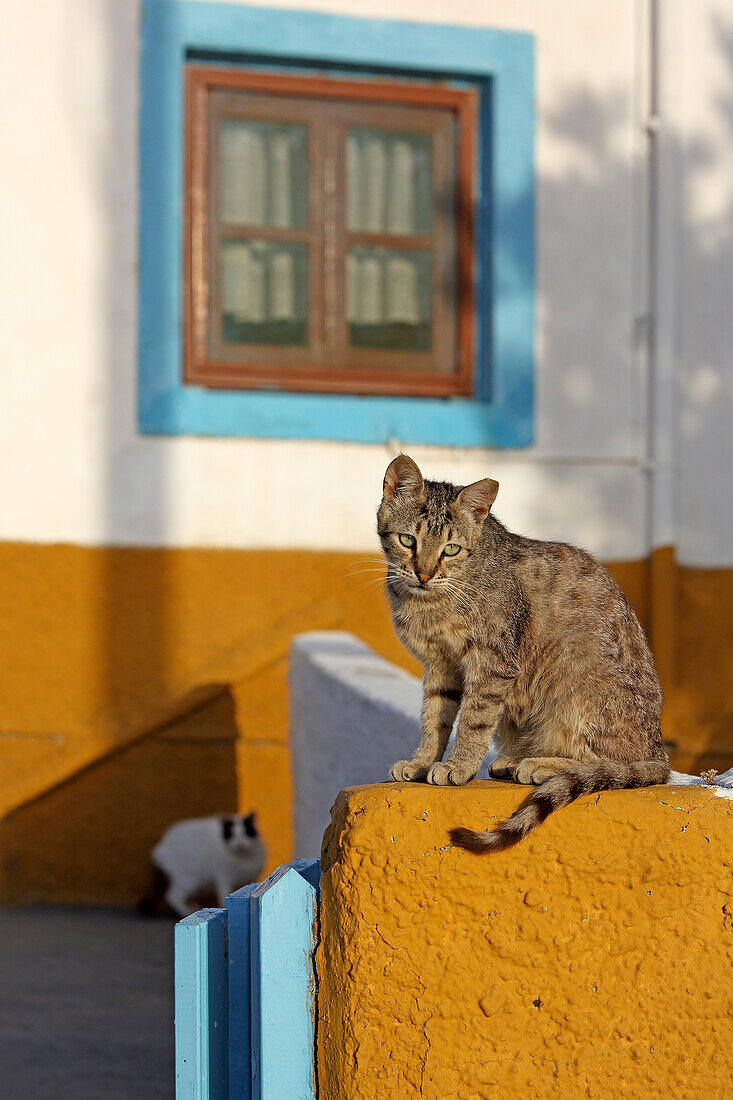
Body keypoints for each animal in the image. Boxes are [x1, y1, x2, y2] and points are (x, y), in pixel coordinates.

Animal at [376, 455, 669, 849]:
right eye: (408, 540)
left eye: (451, 549)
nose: (423, 574)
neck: (431, 603)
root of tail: (659, 750)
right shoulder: (440, 665)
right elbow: (434, 718)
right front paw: (422, 761)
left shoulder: (492, 662)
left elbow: (473, 720)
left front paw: (458, 766)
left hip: (574, 676)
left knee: (607, 762)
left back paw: (539, 764)